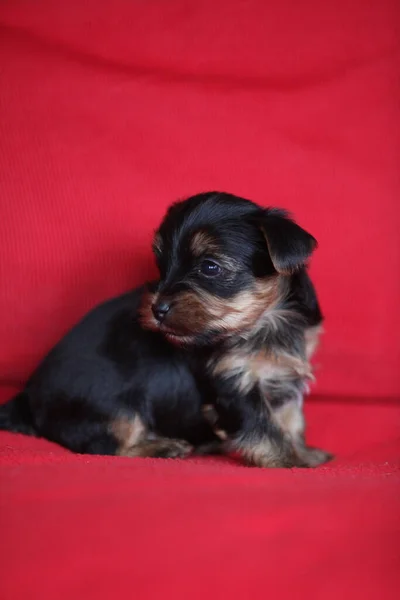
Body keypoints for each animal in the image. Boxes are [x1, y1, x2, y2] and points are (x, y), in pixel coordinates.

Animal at [0, 192, 332, 468]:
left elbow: (290, 420)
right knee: (103, 443)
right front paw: (287, 462)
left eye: (210, 267)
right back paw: (162, 447)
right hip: (110, 405)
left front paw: (304, 454)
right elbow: (262, 426)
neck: (268, 320)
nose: (156, 309)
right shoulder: (233, 381)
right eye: (161, 265)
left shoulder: (285, 376)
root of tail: (27, 396)